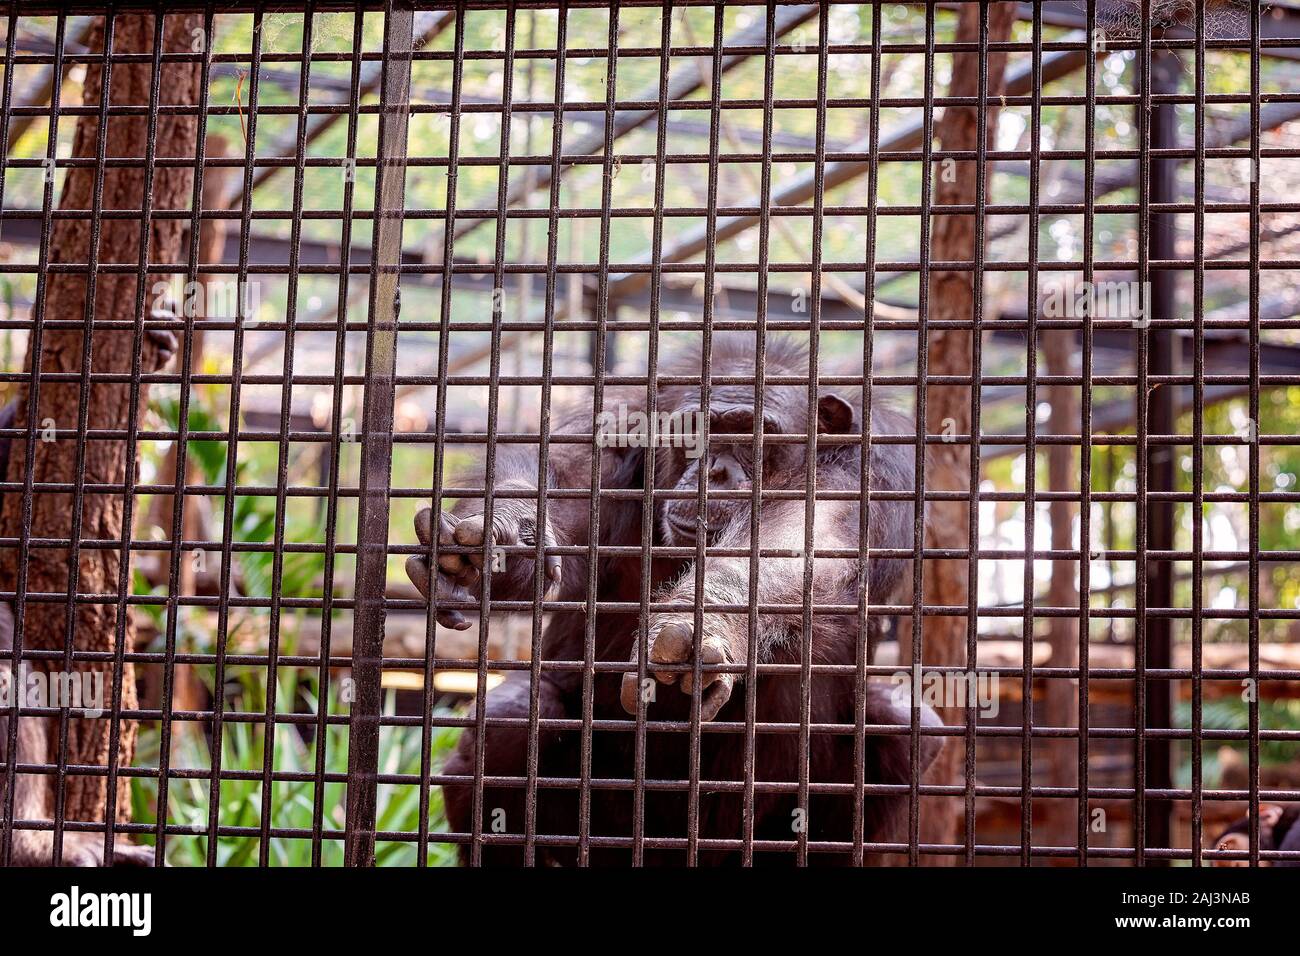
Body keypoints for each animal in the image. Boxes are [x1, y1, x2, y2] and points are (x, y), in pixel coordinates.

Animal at [403, 335, 935, 868]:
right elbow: (557, 474)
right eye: (692, 432)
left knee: (905, 726)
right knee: (508, 716)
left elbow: (804, 539)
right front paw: (504, 532)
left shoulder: (866, 477)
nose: (714, 470)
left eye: (752, 434)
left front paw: (704, 623)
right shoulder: (613, 442)